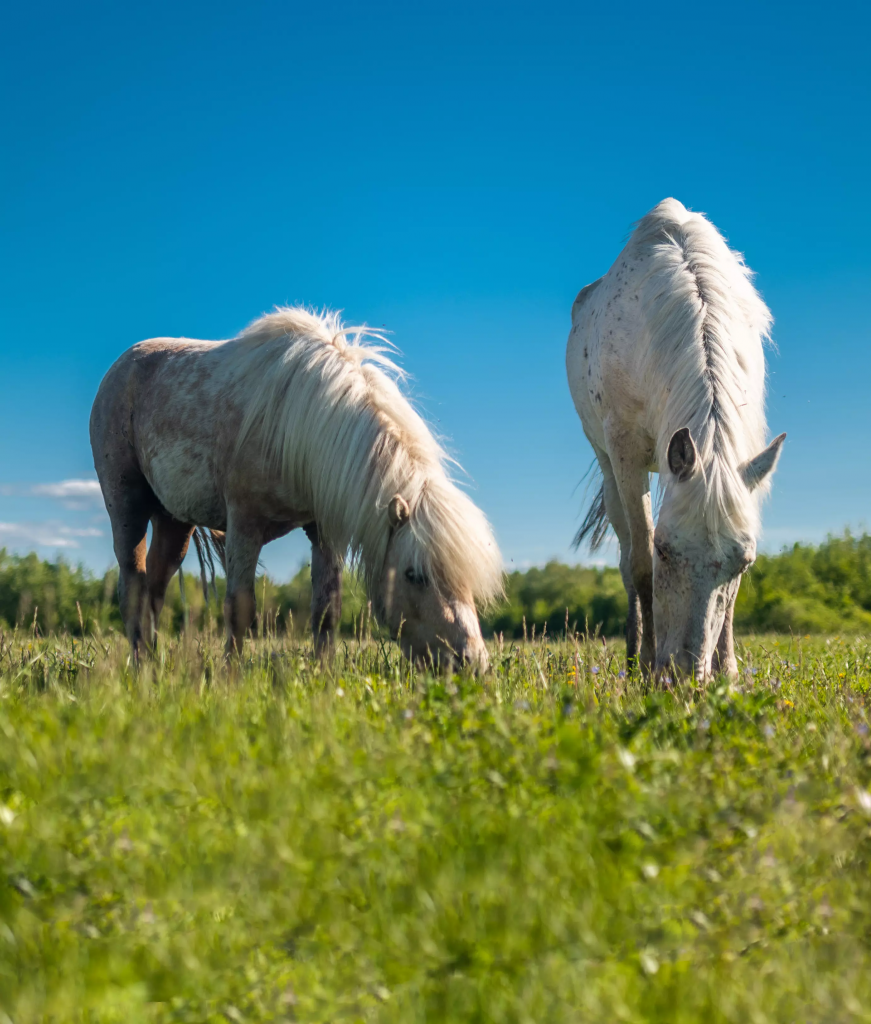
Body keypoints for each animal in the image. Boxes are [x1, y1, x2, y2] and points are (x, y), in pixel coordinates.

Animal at [89, 307, 503, 667]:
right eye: (413, 575)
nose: (474, 664)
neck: (295, 426)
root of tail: (119, 368)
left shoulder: (325, 529)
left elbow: (327, 610)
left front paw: (323, 677)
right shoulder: (245, 525)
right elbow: (239, 608)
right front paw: (230, 680)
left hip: (175, 520)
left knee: (154, 589)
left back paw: (153, 666)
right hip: (128, 507)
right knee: (132, 587)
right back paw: (142, 673)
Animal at [569, 198, 786, 679]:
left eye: (743, 562)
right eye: (665, 551)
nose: (686, 674)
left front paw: (728, 669)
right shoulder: (626, 452)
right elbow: (639, 565)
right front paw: (648, 666)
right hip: (610, 468)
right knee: (626, 557)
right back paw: (634, 658)